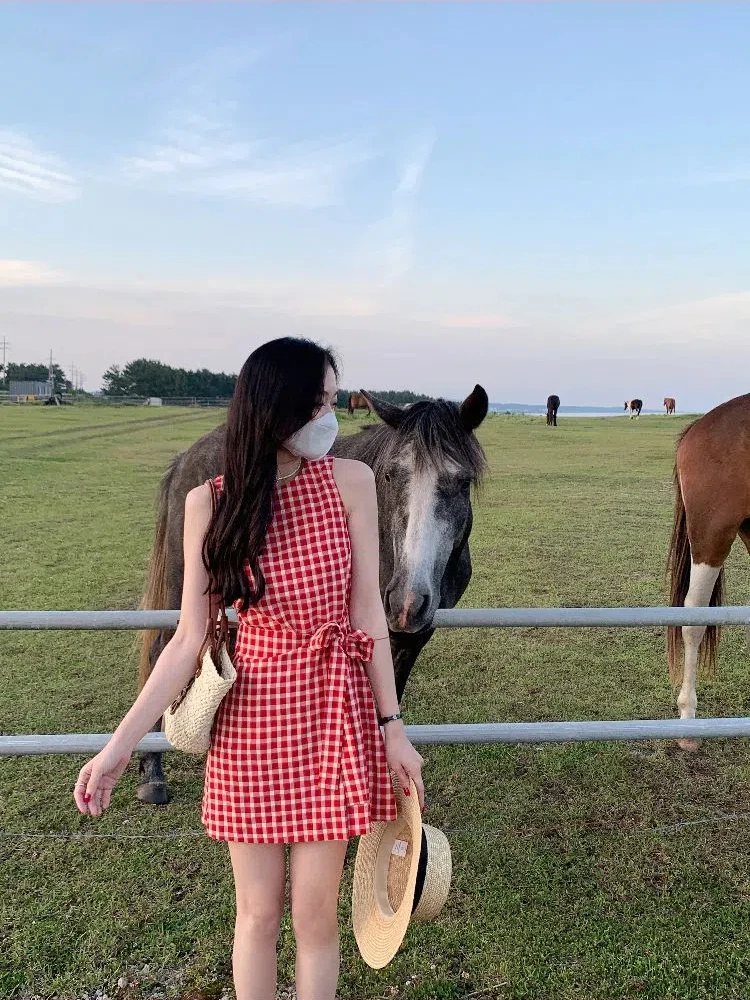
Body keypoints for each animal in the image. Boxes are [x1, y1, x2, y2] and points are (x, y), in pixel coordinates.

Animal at [134, 384, 494, 804]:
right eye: (390, 475)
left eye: (462, 481)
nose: (407, 602)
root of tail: (187, 457)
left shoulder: (411, 637)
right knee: (162, 653)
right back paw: (153, 773)